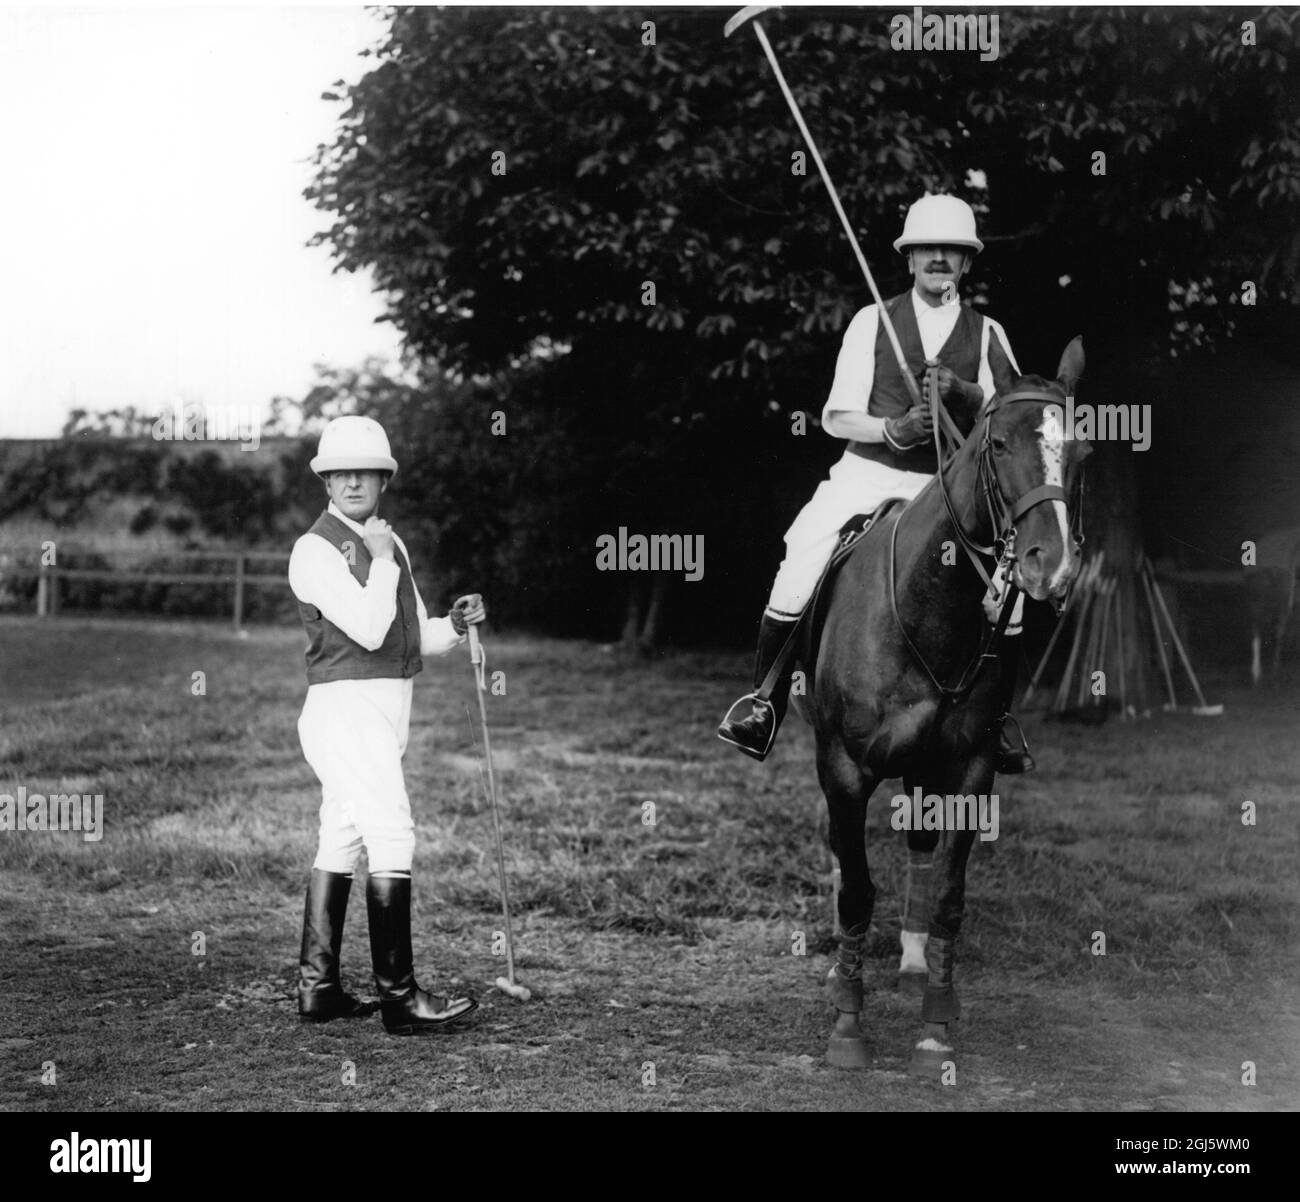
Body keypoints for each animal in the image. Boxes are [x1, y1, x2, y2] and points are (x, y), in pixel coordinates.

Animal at [795, 335, 1092, 1070]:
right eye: (999, 443)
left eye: (1081, 452)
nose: (1052, 567)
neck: (930, 605)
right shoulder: (844, 767)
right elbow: (855, 891)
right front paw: (849, 1027)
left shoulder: (971, 769)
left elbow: (952, 896)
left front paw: (935, 1023)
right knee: (846, 859)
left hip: (923, 767)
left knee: (921, 846)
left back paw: (913, 961)